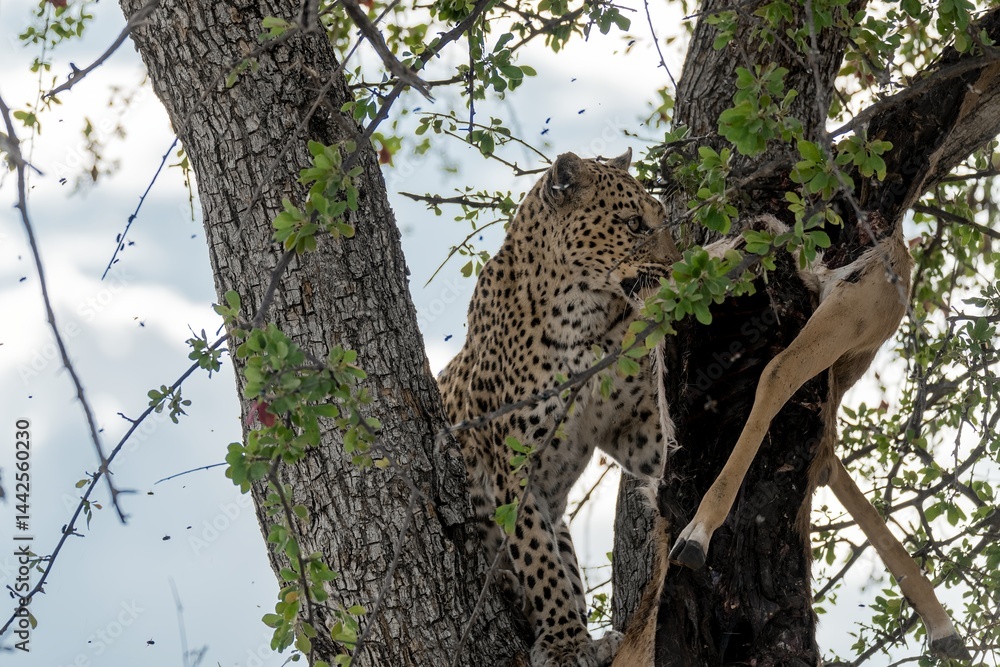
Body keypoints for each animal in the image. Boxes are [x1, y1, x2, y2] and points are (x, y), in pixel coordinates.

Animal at [438, 149, 680, 667]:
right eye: (634, 224)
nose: (677, 265)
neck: (582, 313)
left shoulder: (635, 429)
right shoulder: (516, 465)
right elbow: (539, 559)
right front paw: (565, 644)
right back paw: (514, 591)